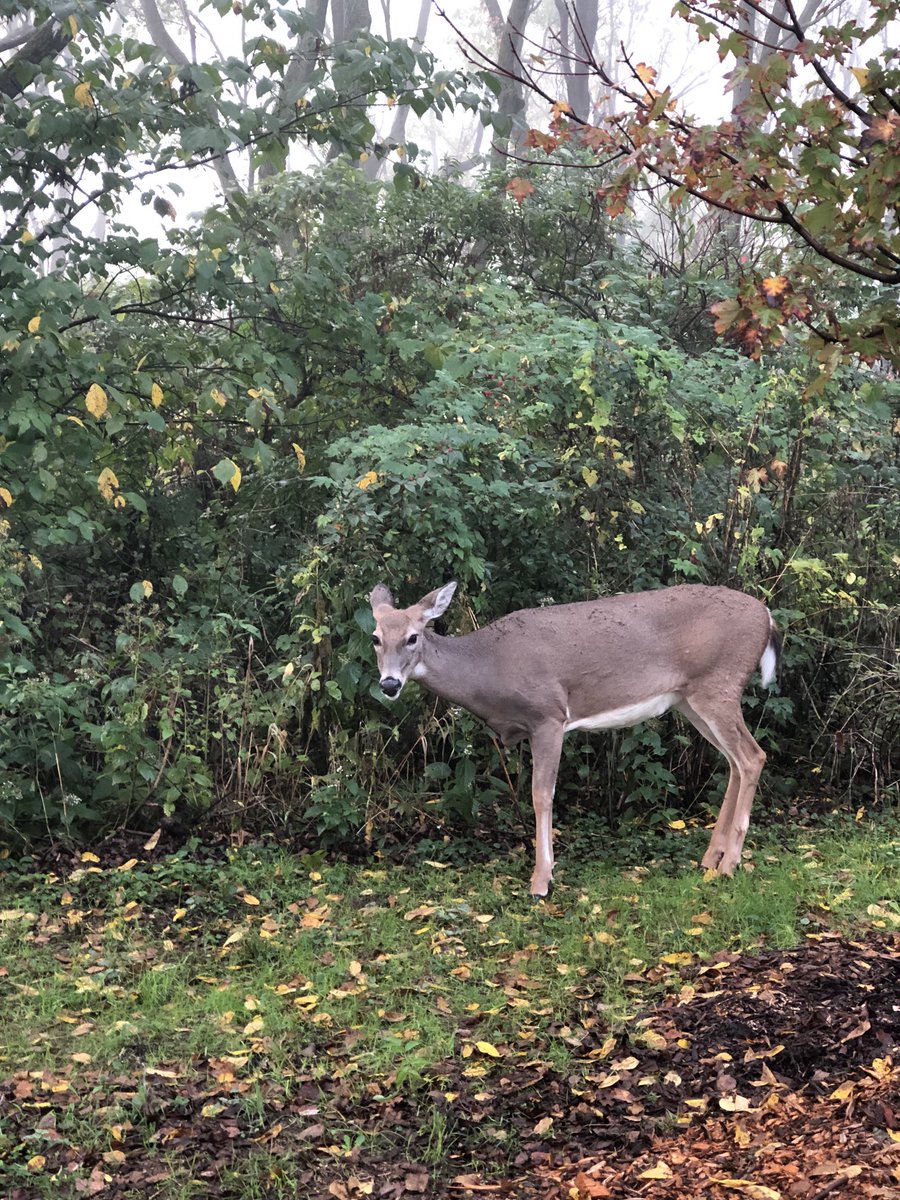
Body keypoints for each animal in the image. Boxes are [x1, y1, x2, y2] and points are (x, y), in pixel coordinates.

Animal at [369, 581, 782, 898]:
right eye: (375, 637)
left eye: (413, 637)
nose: (389, 684)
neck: (491, 667)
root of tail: (767, 616)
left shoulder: (548, 716)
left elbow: (541, 795)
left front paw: (541, 881)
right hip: (690, 698)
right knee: (733, 762)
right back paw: (711, 858)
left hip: (719, 684)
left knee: (752, 757)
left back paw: (730, 863)